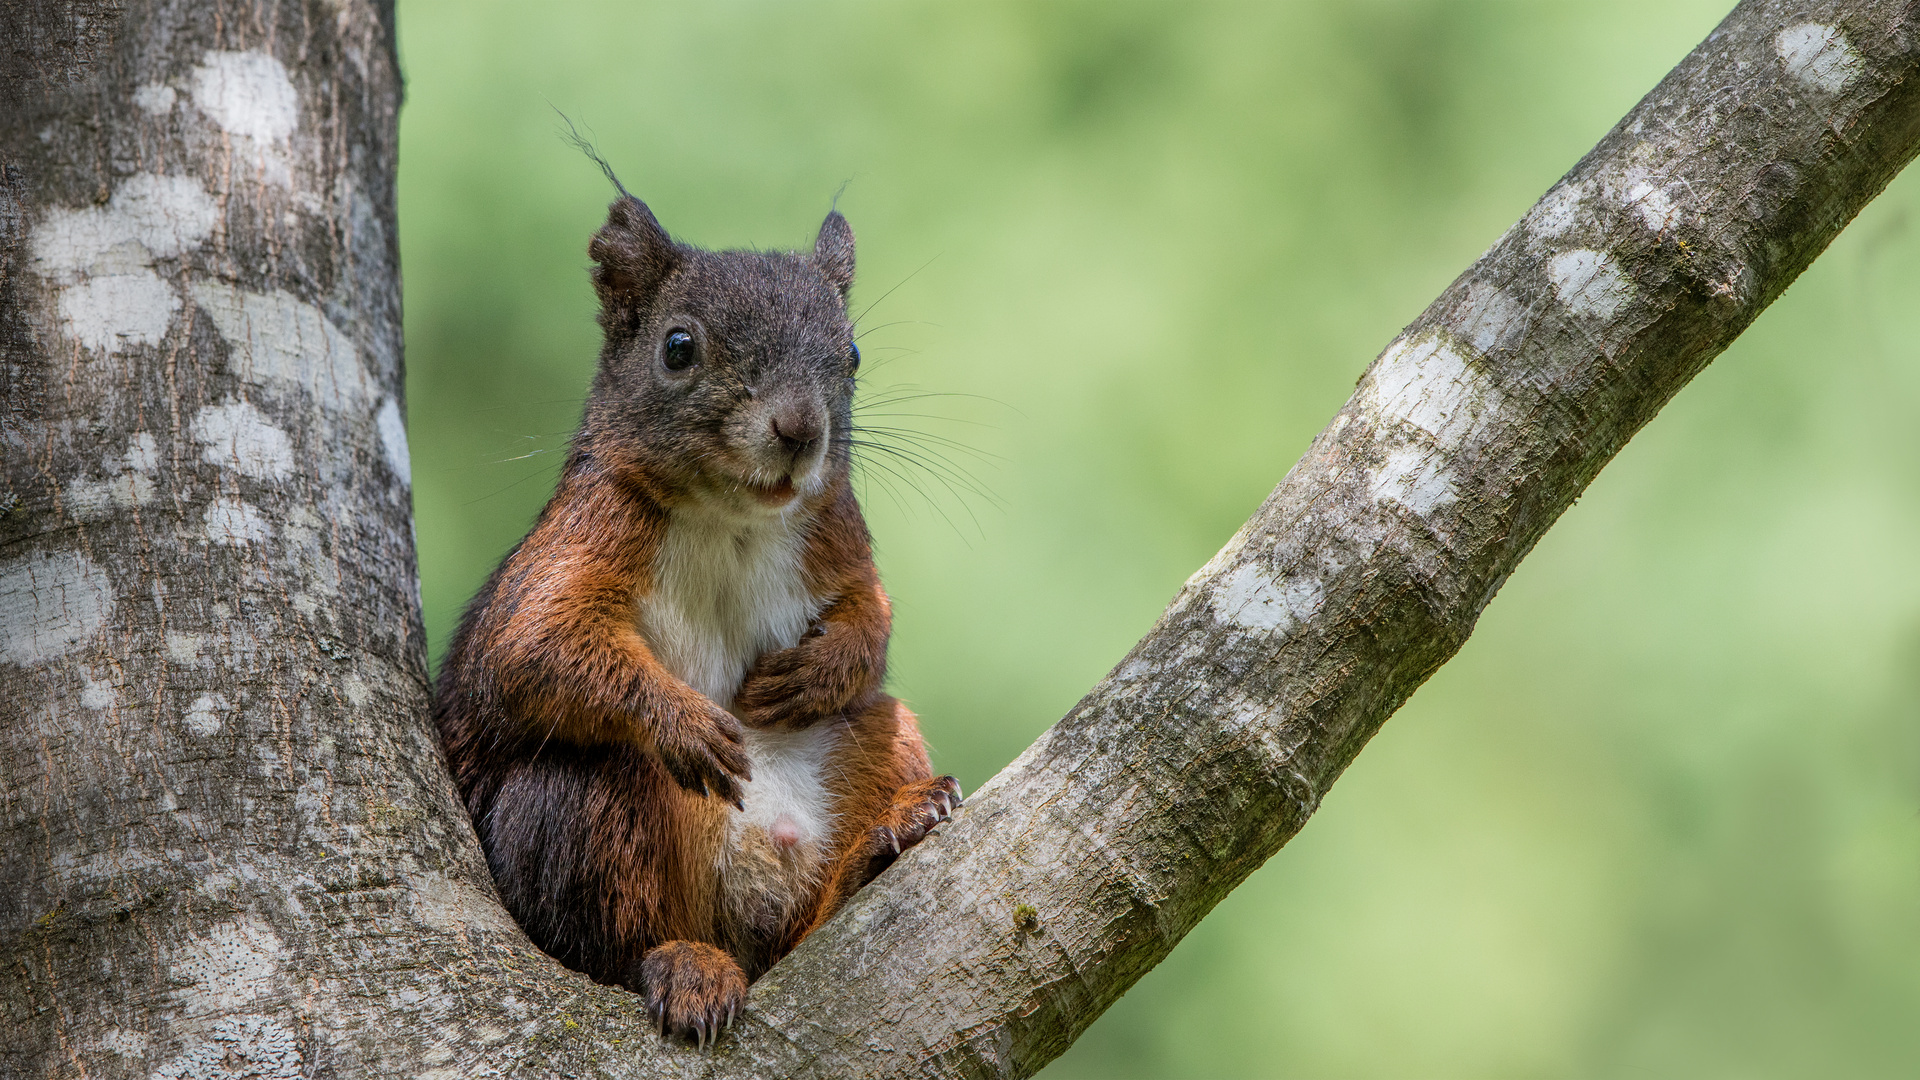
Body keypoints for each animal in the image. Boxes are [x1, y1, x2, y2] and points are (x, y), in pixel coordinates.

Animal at [439, 184, 967, 1045]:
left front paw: (813, 672)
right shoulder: (580, 538)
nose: (799, 430)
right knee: (616, 936)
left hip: (882, 738)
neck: (732, 517)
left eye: (853, 355)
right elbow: (531, 644)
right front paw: (685, 723)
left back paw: (885, 841)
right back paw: (685, 965)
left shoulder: (837, 536)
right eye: (678, 347)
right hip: (578, 810)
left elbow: (872, 615)